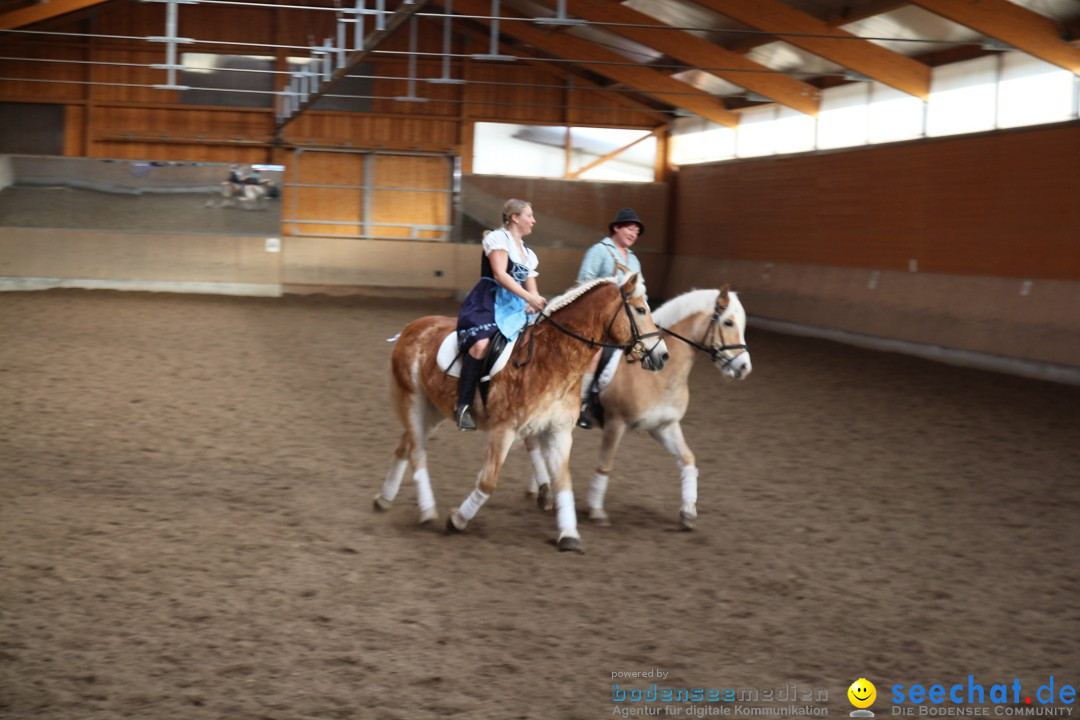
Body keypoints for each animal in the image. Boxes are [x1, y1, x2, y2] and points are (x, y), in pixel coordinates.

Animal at [378, 274, 665, 552]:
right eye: (641, 310)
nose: (662, 356)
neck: (554, 358)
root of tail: (412, 327)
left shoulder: (558, 432)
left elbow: (563, 482)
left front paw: (569, 535)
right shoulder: (504, 430)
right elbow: (487, 482)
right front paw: (457, 520)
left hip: (434, 408)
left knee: (406, 444)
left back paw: (383, 499)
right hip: (414, 400)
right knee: (417, 452)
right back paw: (427, 511)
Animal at [524, 284, 751, 528]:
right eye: (728, 323)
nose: (745, 367)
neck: (661, 377)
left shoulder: (664, 426)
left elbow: (687, 459)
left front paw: (688, 511)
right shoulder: (616, 424)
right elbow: (605, 465)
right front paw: (597, 510)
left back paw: (541, 488)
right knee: (532, 443)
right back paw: (544, 490)